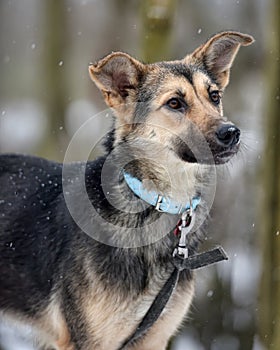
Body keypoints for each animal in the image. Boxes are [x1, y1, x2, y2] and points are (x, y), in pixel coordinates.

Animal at [0, 31, 254, 348]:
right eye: (174, 103)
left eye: (214, 96)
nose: (231, 133)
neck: (150, 199)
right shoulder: (87, 340)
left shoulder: (154, 337)